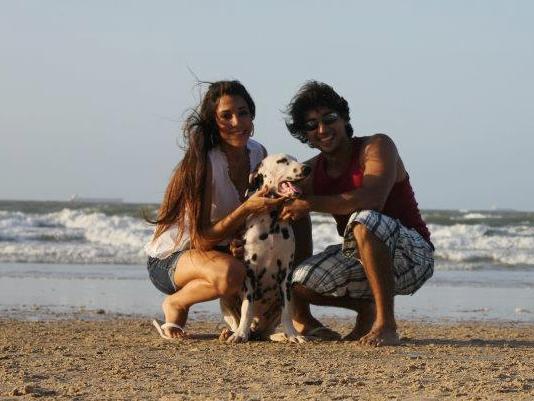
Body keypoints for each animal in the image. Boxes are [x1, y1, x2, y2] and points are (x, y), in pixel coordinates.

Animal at [220, 154, 311, 343]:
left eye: (295, 158)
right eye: (282, 161)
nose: (307, 168)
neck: (272, 223)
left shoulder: (285, 275)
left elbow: (286, 312)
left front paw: (293, 334)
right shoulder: (250, 272)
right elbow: (246, 308)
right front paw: (240, 334)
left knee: (266, 331)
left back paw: (280, 335)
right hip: (225, 297)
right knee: (237, 321)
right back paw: (233, 332)